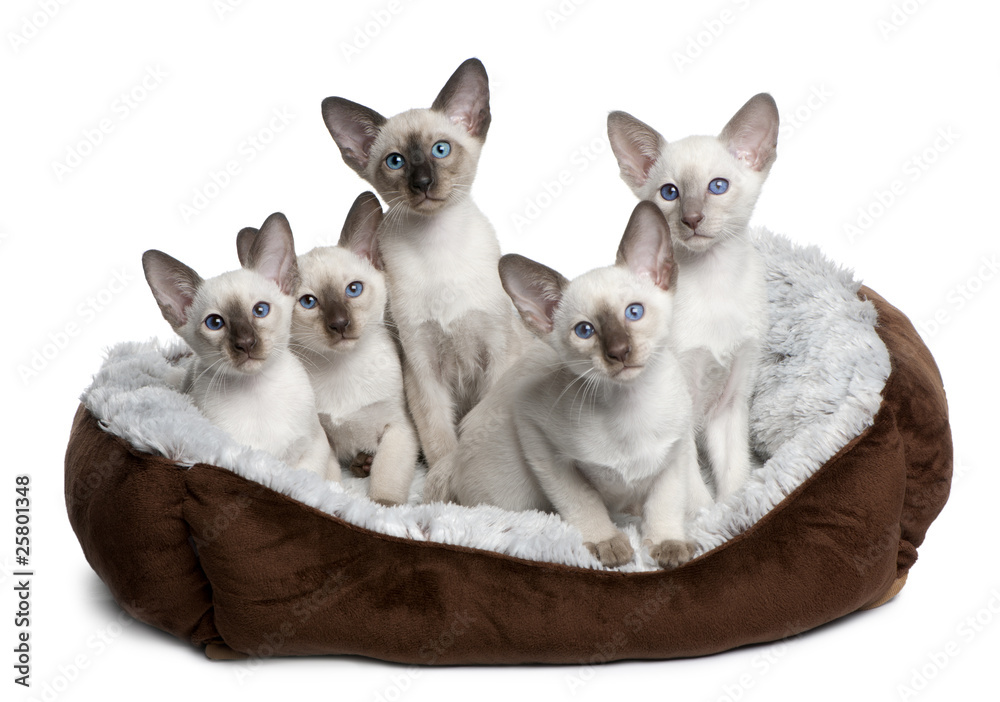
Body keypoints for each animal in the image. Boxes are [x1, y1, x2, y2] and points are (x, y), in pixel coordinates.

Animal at [142, 214, 336, 478]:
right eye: (215, 323)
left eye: (260, 310)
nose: (245, 344)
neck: (257, 391)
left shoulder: (312, 450)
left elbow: (309, 479)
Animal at [322, 60, 528, 498]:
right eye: (395, 161)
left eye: (440, 150)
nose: (422, 183)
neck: (438, 247)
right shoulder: (422, 365)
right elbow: (440, 439)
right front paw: (440, 493)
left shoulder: (497, 353)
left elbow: (476, 431)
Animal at [442, 204, 700, 572]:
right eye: (584, 331)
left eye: (634, 312)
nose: (619, 352)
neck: (629, 406)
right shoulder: (536, 433)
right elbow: (583, 500)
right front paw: (608, 543)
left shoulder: (674, 452)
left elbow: (665, 503)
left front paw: (668, 544)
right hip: (511, 494)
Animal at [604, 93, 776, 500]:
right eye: (670, 192)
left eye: (717, 186)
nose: (692, 219)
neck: (715, 284)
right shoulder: (677, 414)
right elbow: (694, 495)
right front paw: (707, 517)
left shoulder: (731, 404)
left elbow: (734, 480)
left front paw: (738, 513)